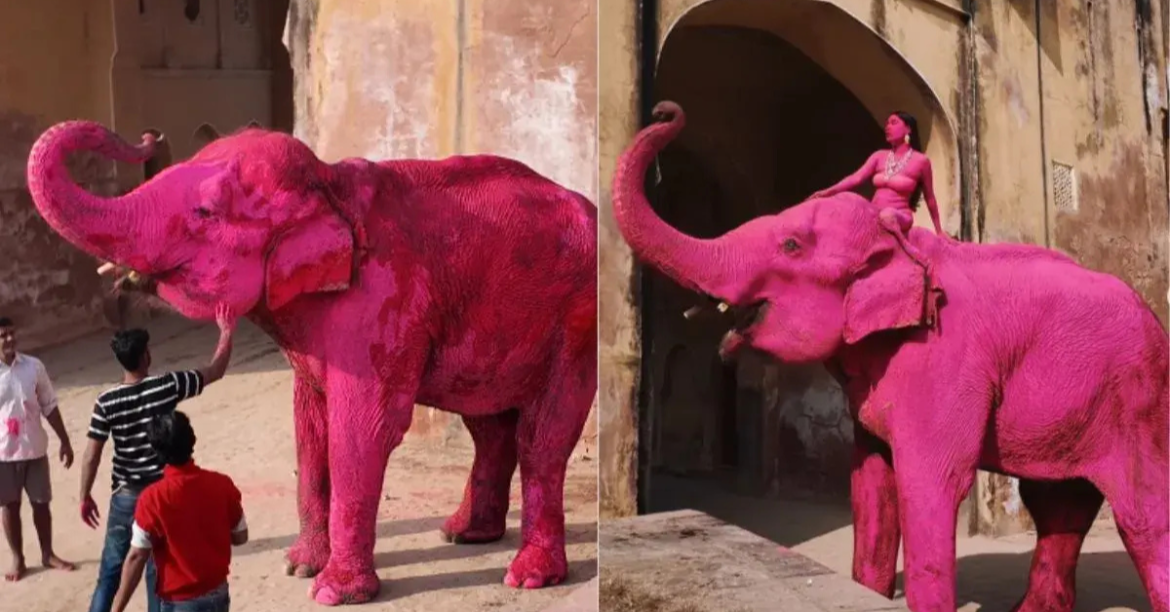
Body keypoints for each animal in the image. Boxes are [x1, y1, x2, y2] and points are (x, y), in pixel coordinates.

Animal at [26, 121, 598, 605]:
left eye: (205, 212)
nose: (149, 137)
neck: (328, 184)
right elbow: (309, 424)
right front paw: (297, 566)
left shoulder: (381, 302)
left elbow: (363, 430)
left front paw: (331, 592)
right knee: (487, 425)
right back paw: (464, 534)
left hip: (575, 324)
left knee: (541, 439)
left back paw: (527, 576)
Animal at [611, 101, 1168, 612]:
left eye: (790, 246)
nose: (664, 110)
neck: (896, 244)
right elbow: (869, 481)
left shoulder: (943, 359)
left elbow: (929, 481)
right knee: (1058, 507)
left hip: (1138, 403)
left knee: (1141, 516)